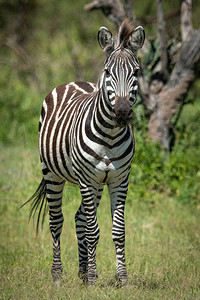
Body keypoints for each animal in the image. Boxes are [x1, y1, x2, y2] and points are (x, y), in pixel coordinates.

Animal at [22, 19, 145, 286]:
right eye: (108, 72)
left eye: (136, 72)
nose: (122, 113)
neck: (110, 135)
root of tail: (71, 82)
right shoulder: (87, 180)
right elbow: (93, 230)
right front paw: (94, 279)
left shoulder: (120, 180)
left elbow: (118, 231)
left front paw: (121, 279)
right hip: (52, 174)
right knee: (57, 221)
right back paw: (58, 275)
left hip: (97, 183)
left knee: (79, 217)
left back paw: (82, 271)